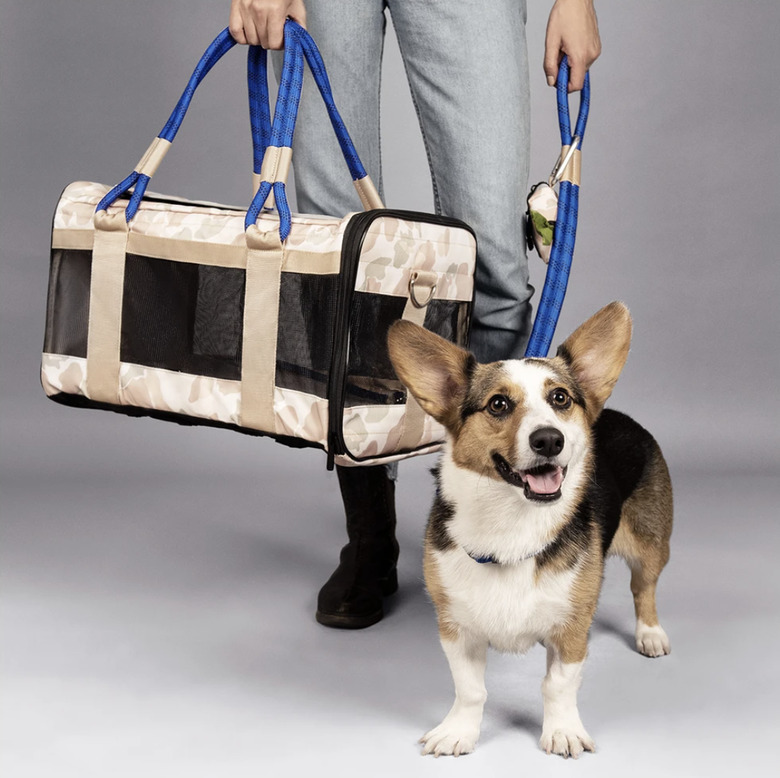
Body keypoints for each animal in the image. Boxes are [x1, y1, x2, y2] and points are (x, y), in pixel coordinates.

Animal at [388, 300, 672, 756]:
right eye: (498, 404)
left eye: (560, 398)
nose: (549, 440)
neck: (512, 522)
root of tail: (615, 414)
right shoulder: (456, 628)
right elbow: (470, 690)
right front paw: (458, 732)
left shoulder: (572, 629)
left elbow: (557, 684)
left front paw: (562, 731)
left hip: (652, 546)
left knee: (643, 588)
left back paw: (650, 634)